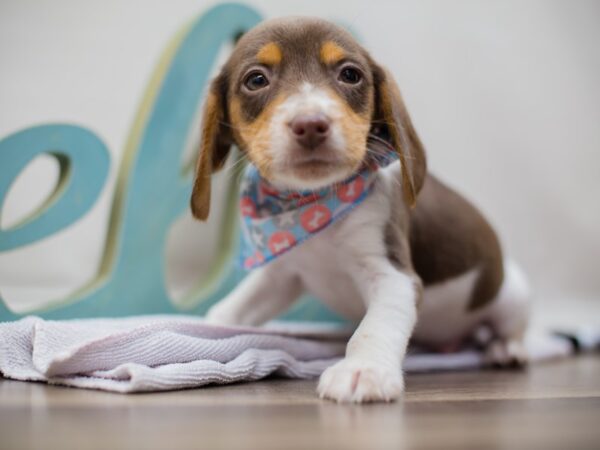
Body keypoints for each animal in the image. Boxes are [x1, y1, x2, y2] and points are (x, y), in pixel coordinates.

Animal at [189, 18, 528, 404]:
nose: (311, 124)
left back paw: (507, 349)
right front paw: (200, 333)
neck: (315, 206)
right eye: (256, 79)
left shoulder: (392, 276)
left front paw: (364, 369)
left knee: (512, 327)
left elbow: (373, 329)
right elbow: (230, 309)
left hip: (511, 295)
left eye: (350, 74)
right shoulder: (282, 276)